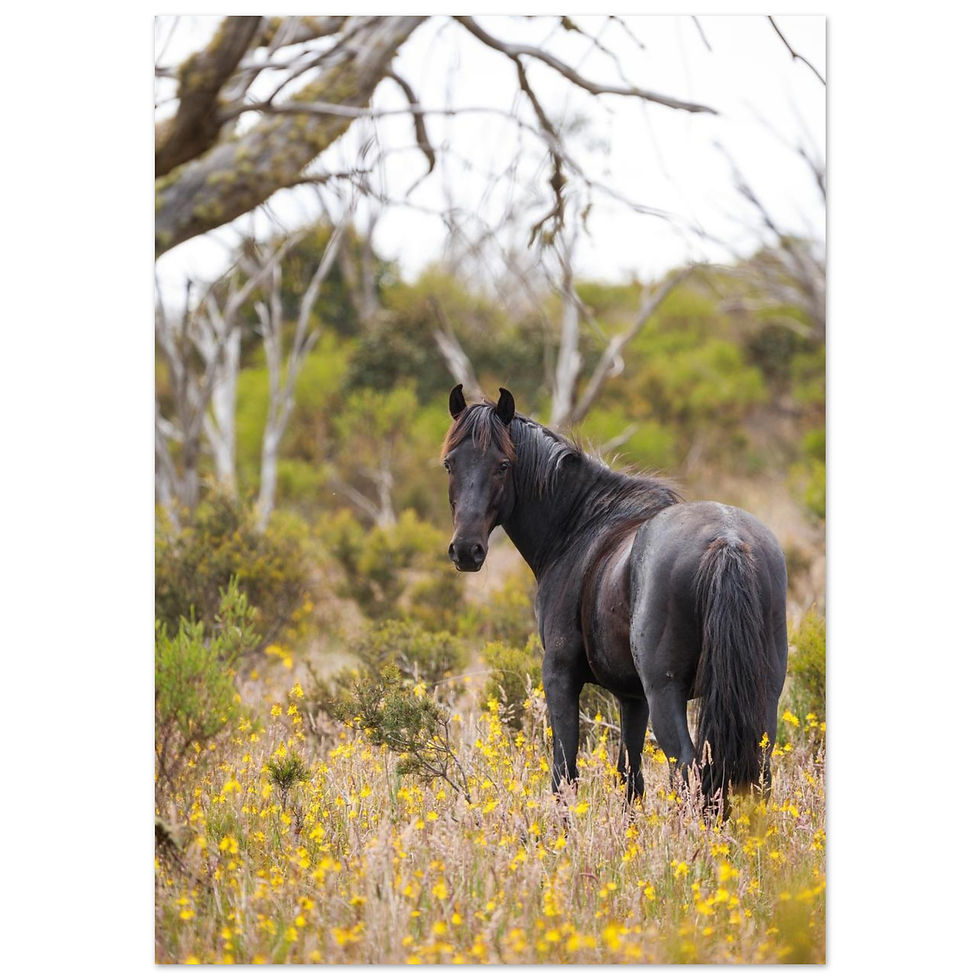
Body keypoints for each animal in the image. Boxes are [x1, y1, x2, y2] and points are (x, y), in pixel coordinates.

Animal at [441, 384, 788, 812]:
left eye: (503, 465)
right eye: (450, 464)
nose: (466, 550)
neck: (581, 526)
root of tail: (727, 540)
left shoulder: (559, 676)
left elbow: (564, 773)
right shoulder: (631, 697)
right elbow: (630, 778)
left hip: (666, 693)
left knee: (688, 770)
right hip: (760, 695)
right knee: (755, 772)